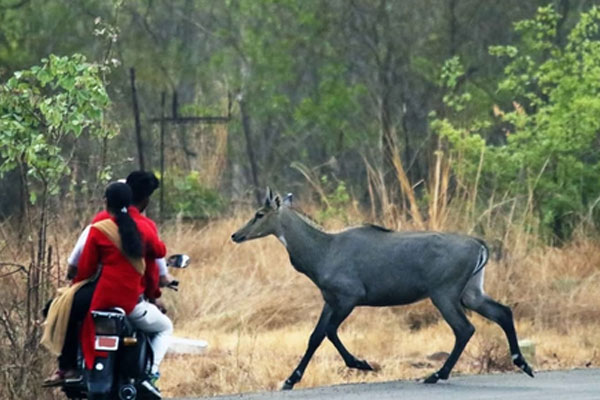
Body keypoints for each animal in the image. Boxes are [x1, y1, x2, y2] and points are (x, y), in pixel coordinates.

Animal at [231, 188, 534, 390]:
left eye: (259, 213)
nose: (236, 235)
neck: (323, 250)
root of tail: (479, 244)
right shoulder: (330, 300)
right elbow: (315, 337)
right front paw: (290, 380)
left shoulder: (349, 297)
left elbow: (329, 332)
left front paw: (362, 364)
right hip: (471, 293)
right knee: (503, 312)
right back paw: (523, 363)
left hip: (444, 294)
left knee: (464, 329)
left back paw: (436, 375)